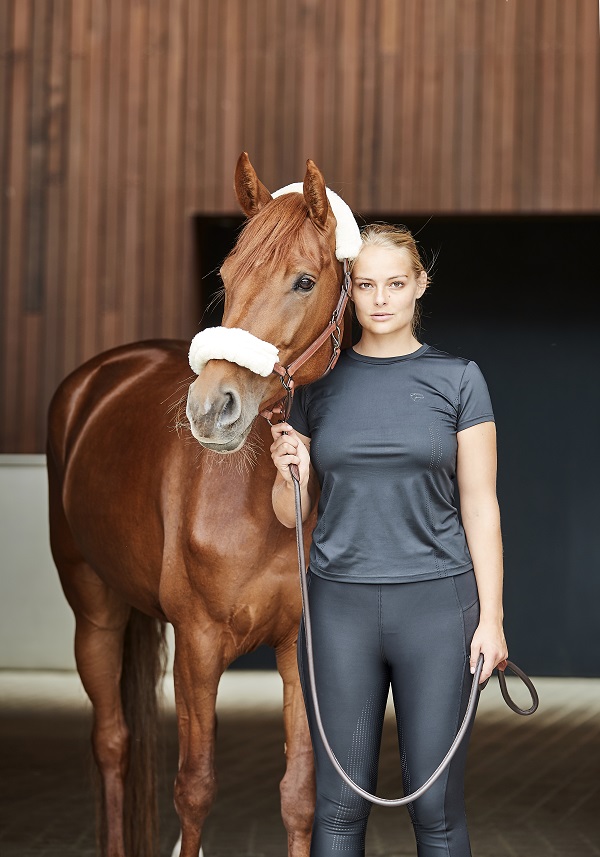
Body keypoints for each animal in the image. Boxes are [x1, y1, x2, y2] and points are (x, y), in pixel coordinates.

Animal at [47, 152, 356, 857]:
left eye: (304, 281)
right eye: (226, 276)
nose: (212, 408)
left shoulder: (300, 649)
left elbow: (299, 795)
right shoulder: (199, 644)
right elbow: (195, 789)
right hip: (95, 609)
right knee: (112, 743)